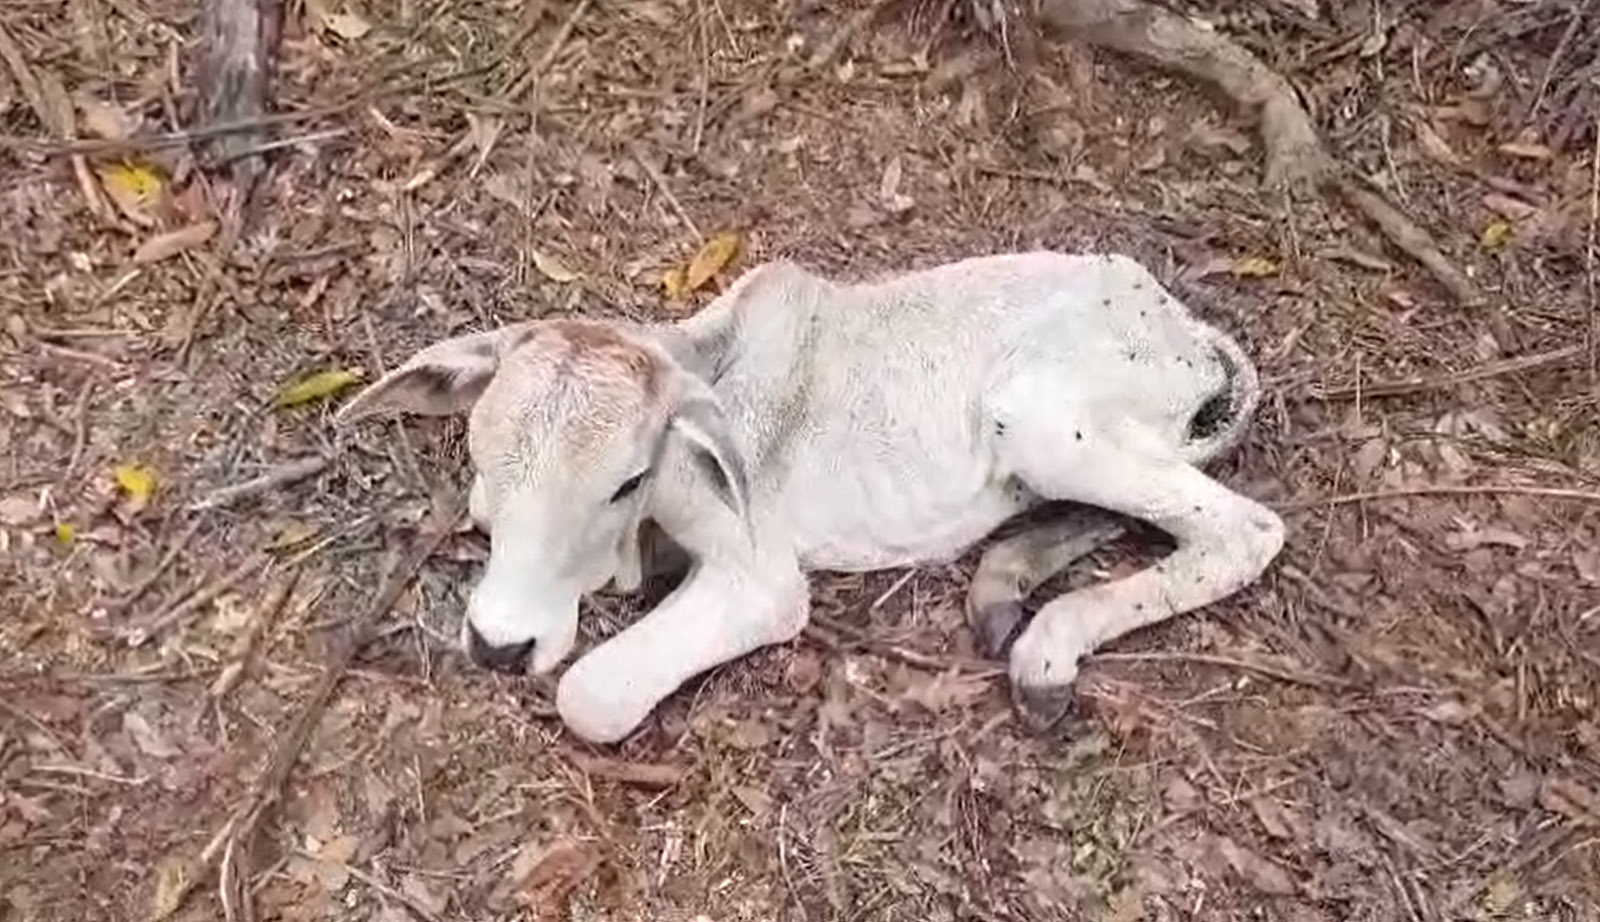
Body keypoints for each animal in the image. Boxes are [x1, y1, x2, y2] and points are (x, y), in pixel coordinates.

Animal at [337, 249, 1286, 742]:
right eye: (484, 455)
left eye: (627, 480)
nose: (500, 645)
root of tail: (1185, 331)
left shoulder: (760, 578)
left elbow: (591, 697)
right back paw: (1001, 592)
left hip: (1045, 422)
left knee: (1245, 530)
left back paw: (1047, 651)